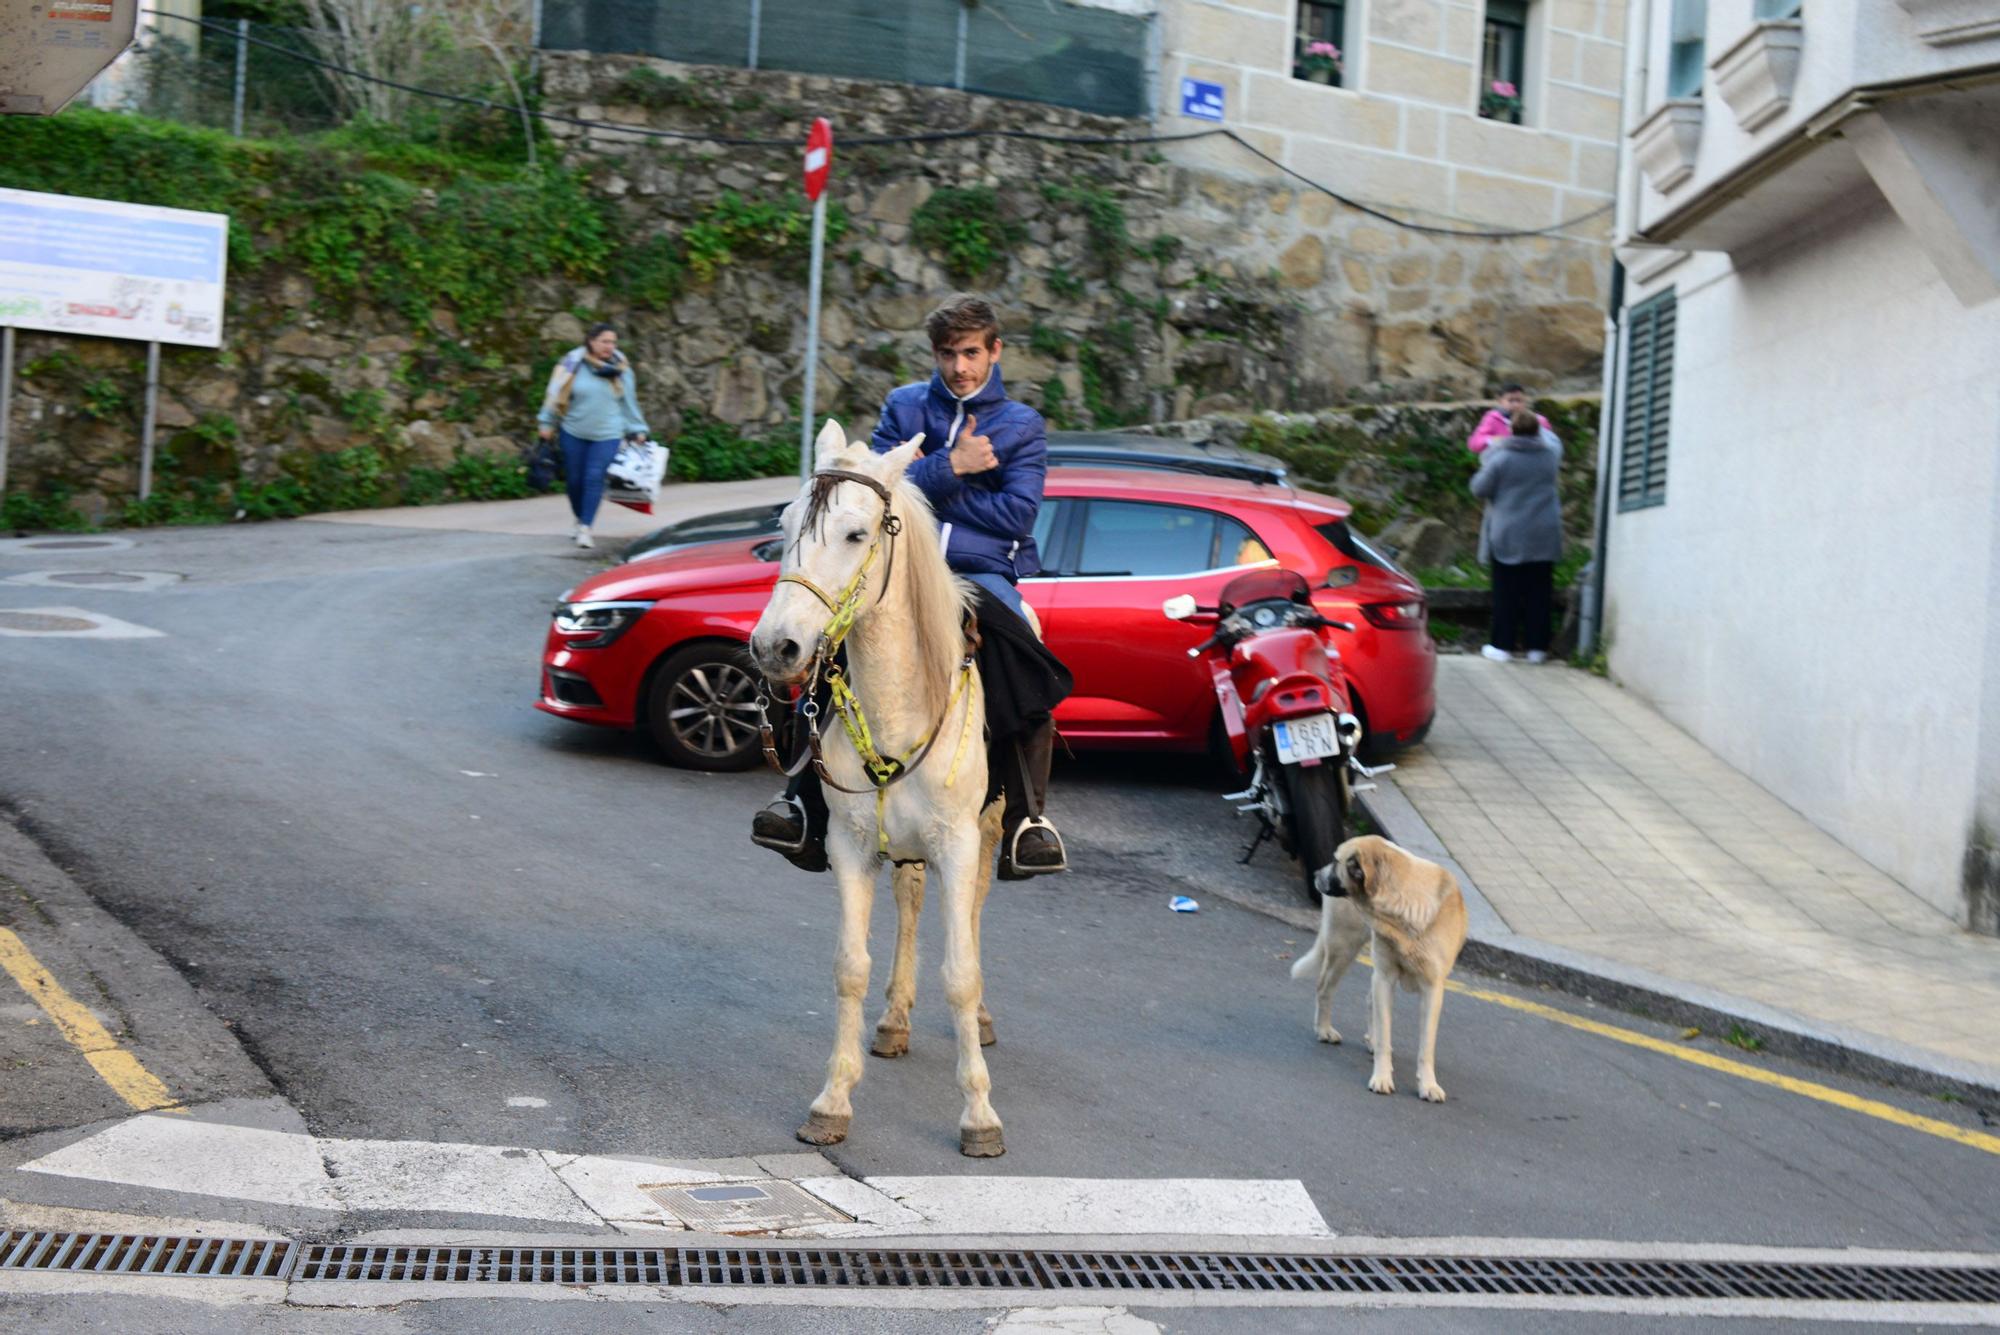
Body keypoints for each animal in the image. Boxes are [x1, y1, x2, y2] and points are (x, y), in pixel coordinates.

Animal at [748, 419, 1008, 1159]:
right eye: (785, 525)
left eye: (857, 534)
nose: (774, 647)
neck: (900, 708)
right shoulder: (852, 845)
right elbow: (850, 966)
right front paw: (832, 1102)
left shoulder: (957, 842)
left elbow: (960, 972)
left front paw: (979, 1115)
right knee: (911, 899)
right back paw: (894, 1020)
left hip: (991, 828)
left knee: (974, 913)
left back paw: (979, 1020)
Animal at [1296, 839, 1472, 1103]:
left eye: (1337, 861)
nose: (1316, 874)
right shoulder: (1385, 977)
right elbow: (1385, 1034)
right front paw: (1381, 1077)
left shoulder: (1432, 990)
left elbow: (1426, 1046)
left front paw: (1428, 1084)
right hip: (1344, 947)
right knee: (1324, 987)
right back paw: (1324, 1030)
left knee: (1368, 1001)